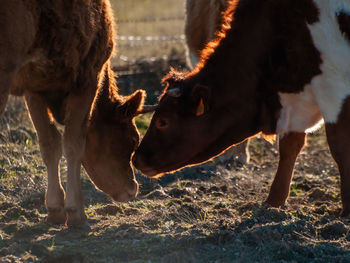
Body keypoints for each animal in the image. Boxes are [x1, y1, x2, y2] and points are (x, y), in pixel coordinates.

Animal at [0, 0, 147, 227]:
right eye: (132, 139)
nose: (132, 189)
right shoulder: (87, 79)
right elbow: (73, 143)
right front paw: (76, 210)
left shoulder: (34, 89)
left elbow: (49, 144)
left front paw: (55, 208)